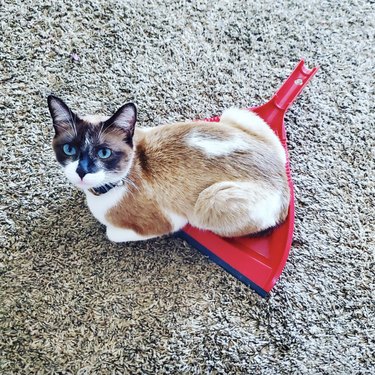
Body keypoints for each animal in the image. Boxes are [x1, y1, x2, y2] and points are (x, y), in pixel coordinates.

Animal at [47, 96, 290, 244]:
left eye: (104, 153)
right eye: (69, 149)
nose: (81, 172)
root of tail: (284, 183)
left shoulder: (170, 221)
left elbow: (110, 233)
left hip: (209, 202)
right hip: (234, 114)